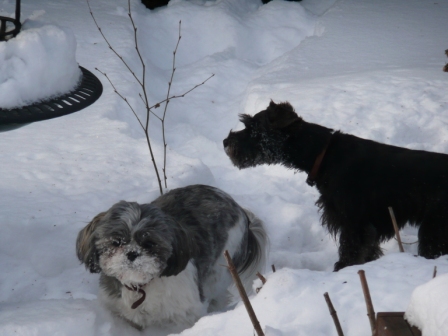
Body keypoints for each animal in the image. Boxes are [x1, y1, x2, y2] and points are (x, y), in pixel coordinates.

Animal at [76, 184, 266, 328]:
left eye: (149, 244)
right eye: (116, 242)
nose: (132, 253)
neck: (142, 286)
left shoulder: (186, 313)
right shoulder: (119, 310)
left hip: (220, 266)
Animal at [224, 101, 448, 272]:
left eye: (253, 128)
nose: (226, 141)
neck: (323, 154)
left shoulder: (354, 223)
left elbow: (350, 252)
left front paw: (342, 270)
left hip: (434, 229)